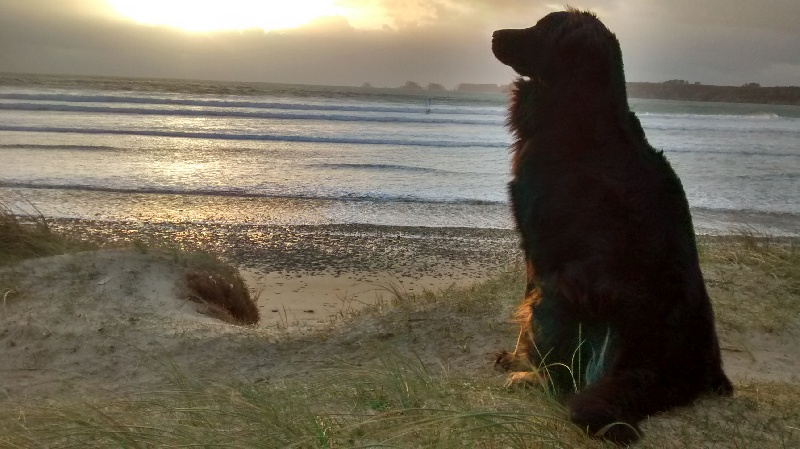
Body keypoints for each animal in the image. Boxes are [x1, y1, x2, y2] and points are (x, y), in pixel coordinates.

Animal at [491, 8, 733, 445]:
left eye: (540, 28)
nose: (494, 34)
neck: (585, 115)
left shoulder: (542, 251)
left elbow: (529, 310)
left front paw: (519, 361)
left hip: (569, 296)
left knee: (564, 378)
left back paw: (531, 378)